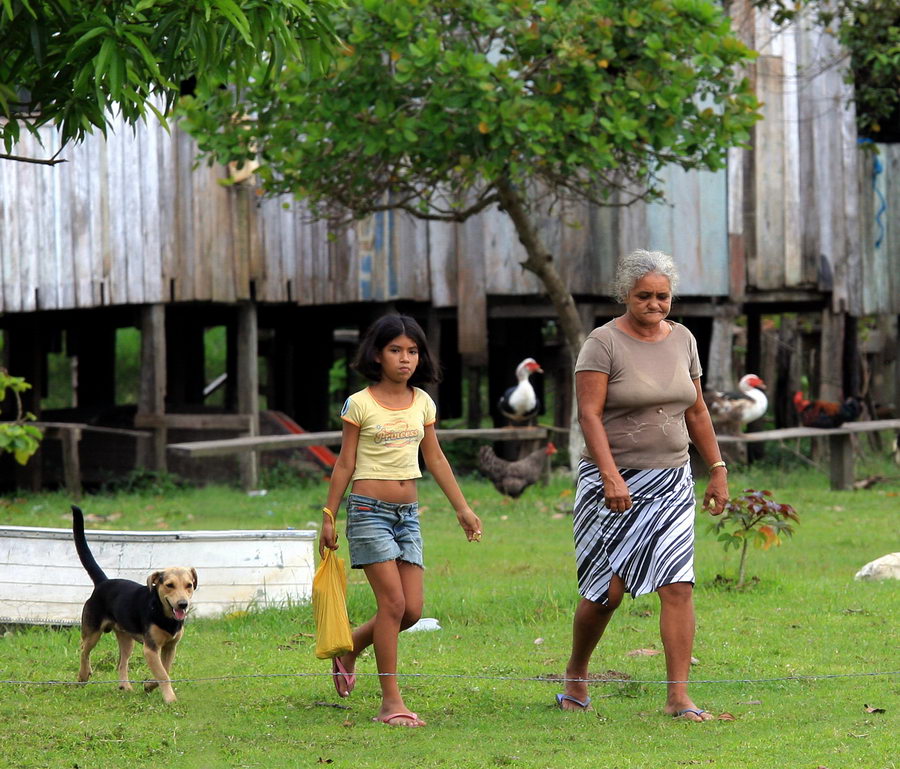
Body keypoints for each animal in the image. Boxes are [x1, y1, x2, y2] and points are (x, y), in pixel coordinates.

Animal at [71, 504, 197, 704]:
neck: (162, 613)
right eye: (169, 585)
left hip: (126, 638)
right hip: (93, 631)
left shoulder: (170, 647)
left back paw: (125, 686)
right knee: (84, 650)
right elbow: (163, 674)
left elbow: (164, 670)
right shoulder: (150, 648)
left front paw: (149, 685)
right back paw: (83, 675)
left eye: (189, 585)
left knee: (121, 663)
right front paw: (170, 698)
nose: (183, 604)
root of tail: (103, 582)